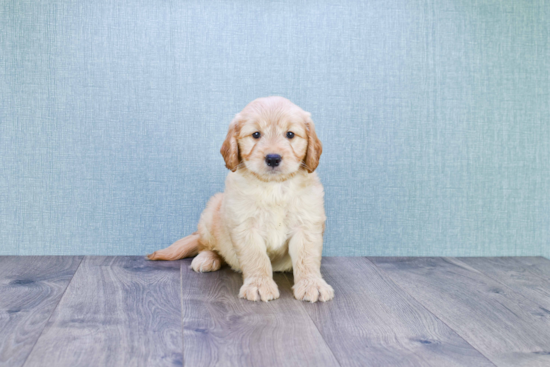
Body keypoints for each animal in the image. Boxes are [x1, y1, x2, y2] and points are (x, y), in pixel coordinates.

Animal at [148, 96, 336, 304]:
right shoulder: (245, 226)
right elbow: (256, 257)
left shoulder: (307, 224)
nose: (273, 158)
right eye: (256, 134)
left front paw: (312, 284)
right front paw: (260, 285)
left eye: (290, 134)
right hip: (210, 214)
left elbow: (307, 258)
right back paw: (206, 259)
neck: (273, 188)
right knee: (207, 246)